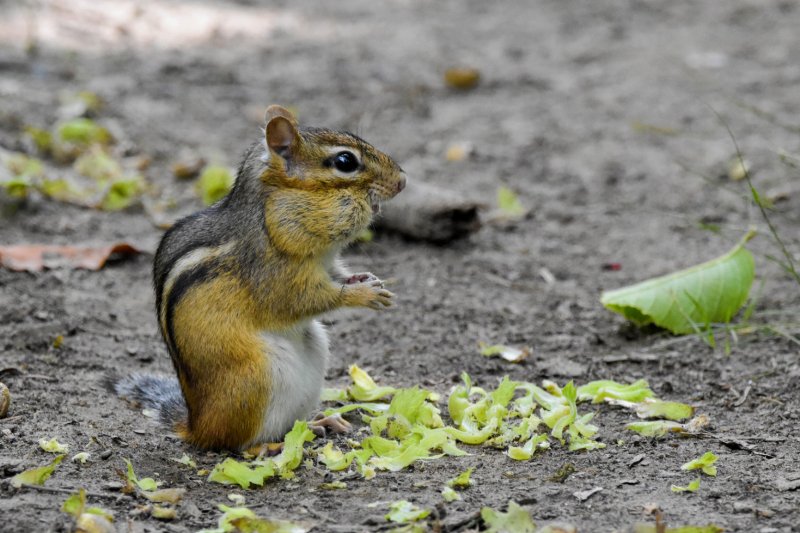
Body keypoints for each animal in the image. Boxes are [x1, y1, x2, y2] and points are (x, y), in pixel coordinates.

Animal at [110, 105, 406, 451]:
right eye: (345, 162)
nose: (402, 180)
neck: (271, 216)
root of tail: (197, 426)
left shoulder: (325, 265)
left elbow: (339, 275)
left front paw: (367, 279)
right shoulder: (273, 275)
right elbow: (303, 299)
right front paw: (364, 295)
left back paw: (319, 423)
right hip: (257, 378)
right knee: (238, 443)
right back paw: (268, 446)